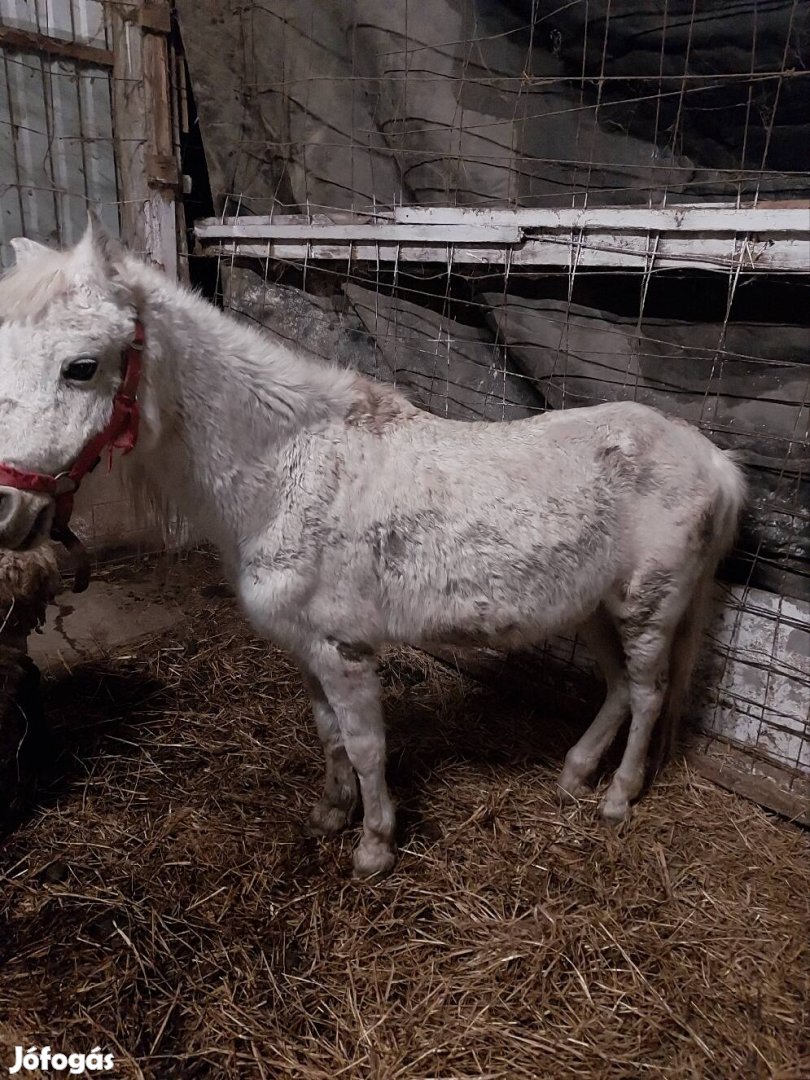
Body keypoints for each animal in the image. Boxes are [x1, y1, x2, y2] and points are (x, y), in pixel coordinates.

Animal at [0, 225, 747, 876]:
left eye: (82, 367)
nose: (7, 509)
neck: (287, 471)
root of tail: (711, 458)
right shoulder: (306, 648)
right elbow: (328, 733)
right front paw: (332, 816)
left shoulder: (344, 649)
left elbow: (365, 745)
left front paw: (374, 847)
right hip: (593, 609)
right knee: (618, 690)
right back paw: (574, 773)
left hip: (647, 611)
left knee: (647, 694)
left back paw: (617, 798)